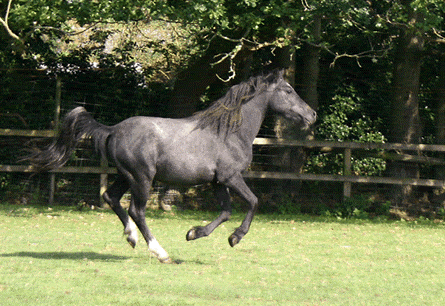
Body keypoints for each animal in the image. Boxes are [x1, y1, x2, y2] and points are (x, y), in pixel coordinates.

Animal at [26, 69, 316, 262]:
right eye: (288, 90)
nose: (311, 114)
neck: (229, 132)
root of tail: (112, 130)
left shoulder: (217, 181)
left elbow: (225, 212)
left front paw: (193, 233)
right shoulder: (231, 177)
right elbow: (253, 202)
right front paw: (235, 238)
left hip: (125, 175)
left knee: (110, 197)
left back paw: (131, 238)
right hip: (142, 178)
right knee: (136, 210)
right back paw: (160, 252)